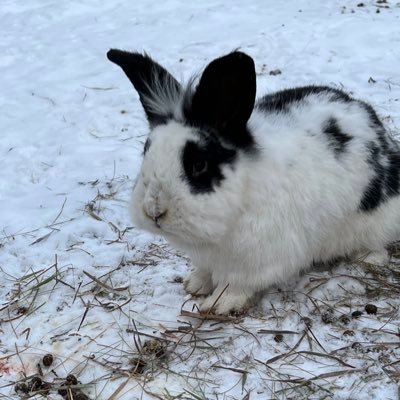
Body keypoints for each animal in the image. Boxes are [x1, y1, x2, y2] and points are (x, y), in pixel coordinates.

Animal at [106, 48, 400, 314]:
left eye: (199, 165)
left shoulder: (256, 259)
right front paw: (195, 284)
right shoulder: (207, 257)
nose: (154, 211)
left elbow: (236, 284)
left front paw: (218, 304)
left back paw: (368, 258)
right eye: (146, 150)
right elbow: (205, 271)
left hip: (374, 220)